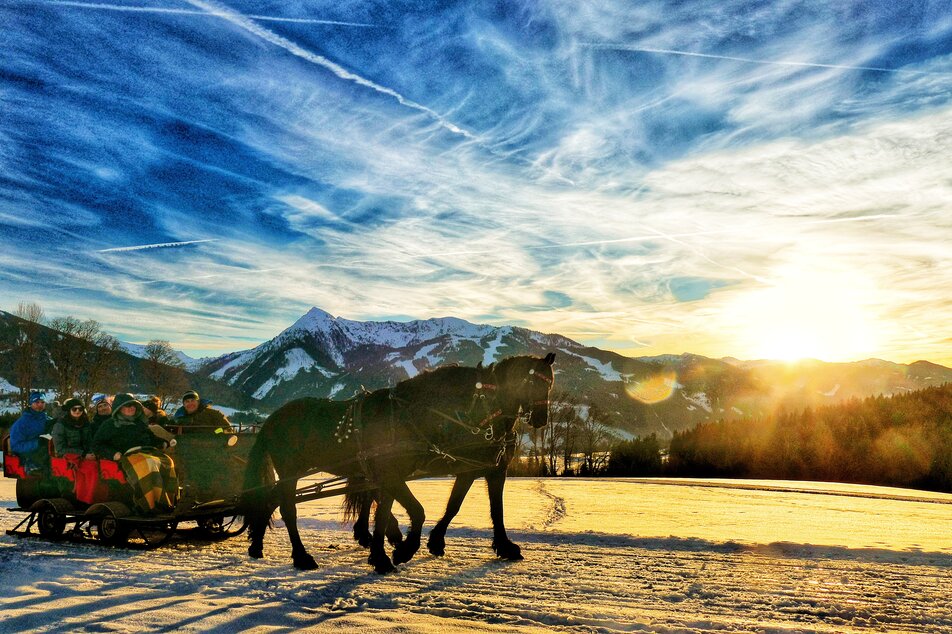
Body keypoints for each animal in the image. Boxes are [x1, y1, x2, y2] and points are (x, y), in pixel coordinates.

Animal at [242, 350, 556, 572]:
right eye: (531, 382)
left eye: (550, 384)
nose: (541, 420)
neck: (409, 415)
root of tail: (272, 418)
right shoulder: (428, 471)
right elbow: (422, 510)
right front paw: (407, 549)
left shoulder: (490, 469)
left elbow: (489, 510)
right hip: (292, 469)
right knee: (288, 509)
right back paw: (301, 556)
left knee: (271, 499)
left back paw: (257, 544)